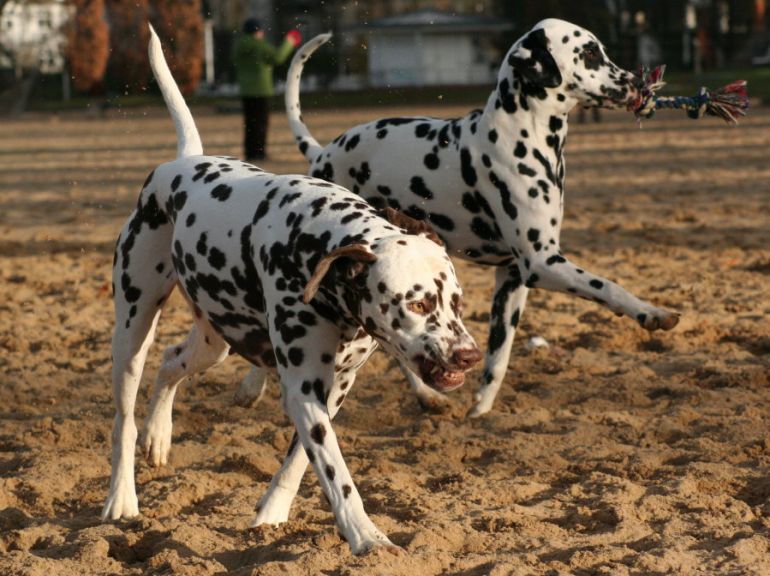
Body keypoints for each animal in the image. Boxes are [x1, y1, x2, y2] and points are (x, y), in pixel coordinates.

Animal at [100, 25, 476, 552]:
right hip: (132, 331)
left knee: (172, 363)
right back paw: (122, 497)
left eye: (455, 301)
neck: (317, 246)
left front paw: (272, 513)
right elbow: (336, 472)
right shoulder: (303, 387)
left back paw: (159, 433)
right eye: (419, 303)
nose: (469, 355)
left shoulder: (334, 387)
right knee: (123, 420)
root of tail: (184, 163)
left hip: (214, 343)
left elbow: (301, 459)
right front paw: (367, 537)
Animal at [266, 16, 680, 414]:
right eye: (590, 53)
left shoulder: (512, 278)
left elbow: (500, 352)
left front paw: (481, 406)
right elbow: (608, 286)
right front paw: (651, 313)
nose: (638, 84)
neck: (521, 135)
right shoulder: (542, 263)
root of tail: (322, 152)